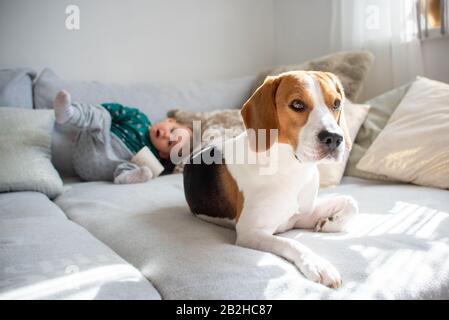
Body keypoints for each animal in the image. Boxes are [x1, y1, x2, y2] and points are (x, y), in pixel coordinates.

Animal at [182, 70, 356, 288]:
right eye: (297, 104)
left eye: (336, 103)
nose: (334, 138)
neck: (290, 167)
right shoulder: (250, 233)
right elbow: (293, 243)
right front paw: (319, 264)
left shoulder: (302, 216)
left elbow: (351, 202)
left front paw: (328, 222)